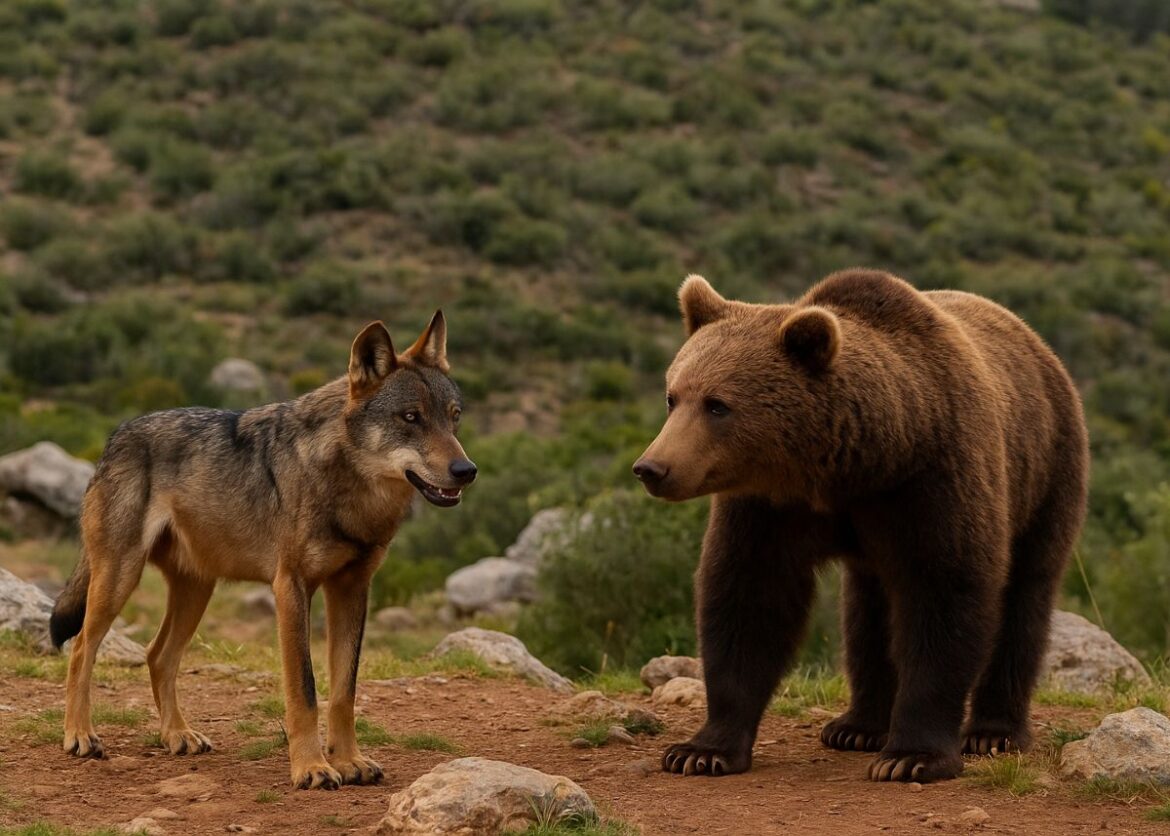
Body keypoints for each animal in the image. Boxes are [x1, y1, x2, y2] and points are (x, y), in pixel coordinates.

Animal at [50, 311, 476, 790]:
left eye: (454, 418)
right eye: (411, 417)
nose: (467, 470)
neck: (350, 493)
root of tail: (117, 434)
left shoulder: (352, 589)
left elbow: (344, 690)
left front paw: (349, 761)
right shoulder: (291, 588)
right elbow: (305, 690)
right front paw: (312, 768)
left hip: (196, 591)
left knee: (158, 656)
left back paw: (177, 735)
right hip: (119, 578)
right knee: (83, 647)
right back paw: (80, 736)